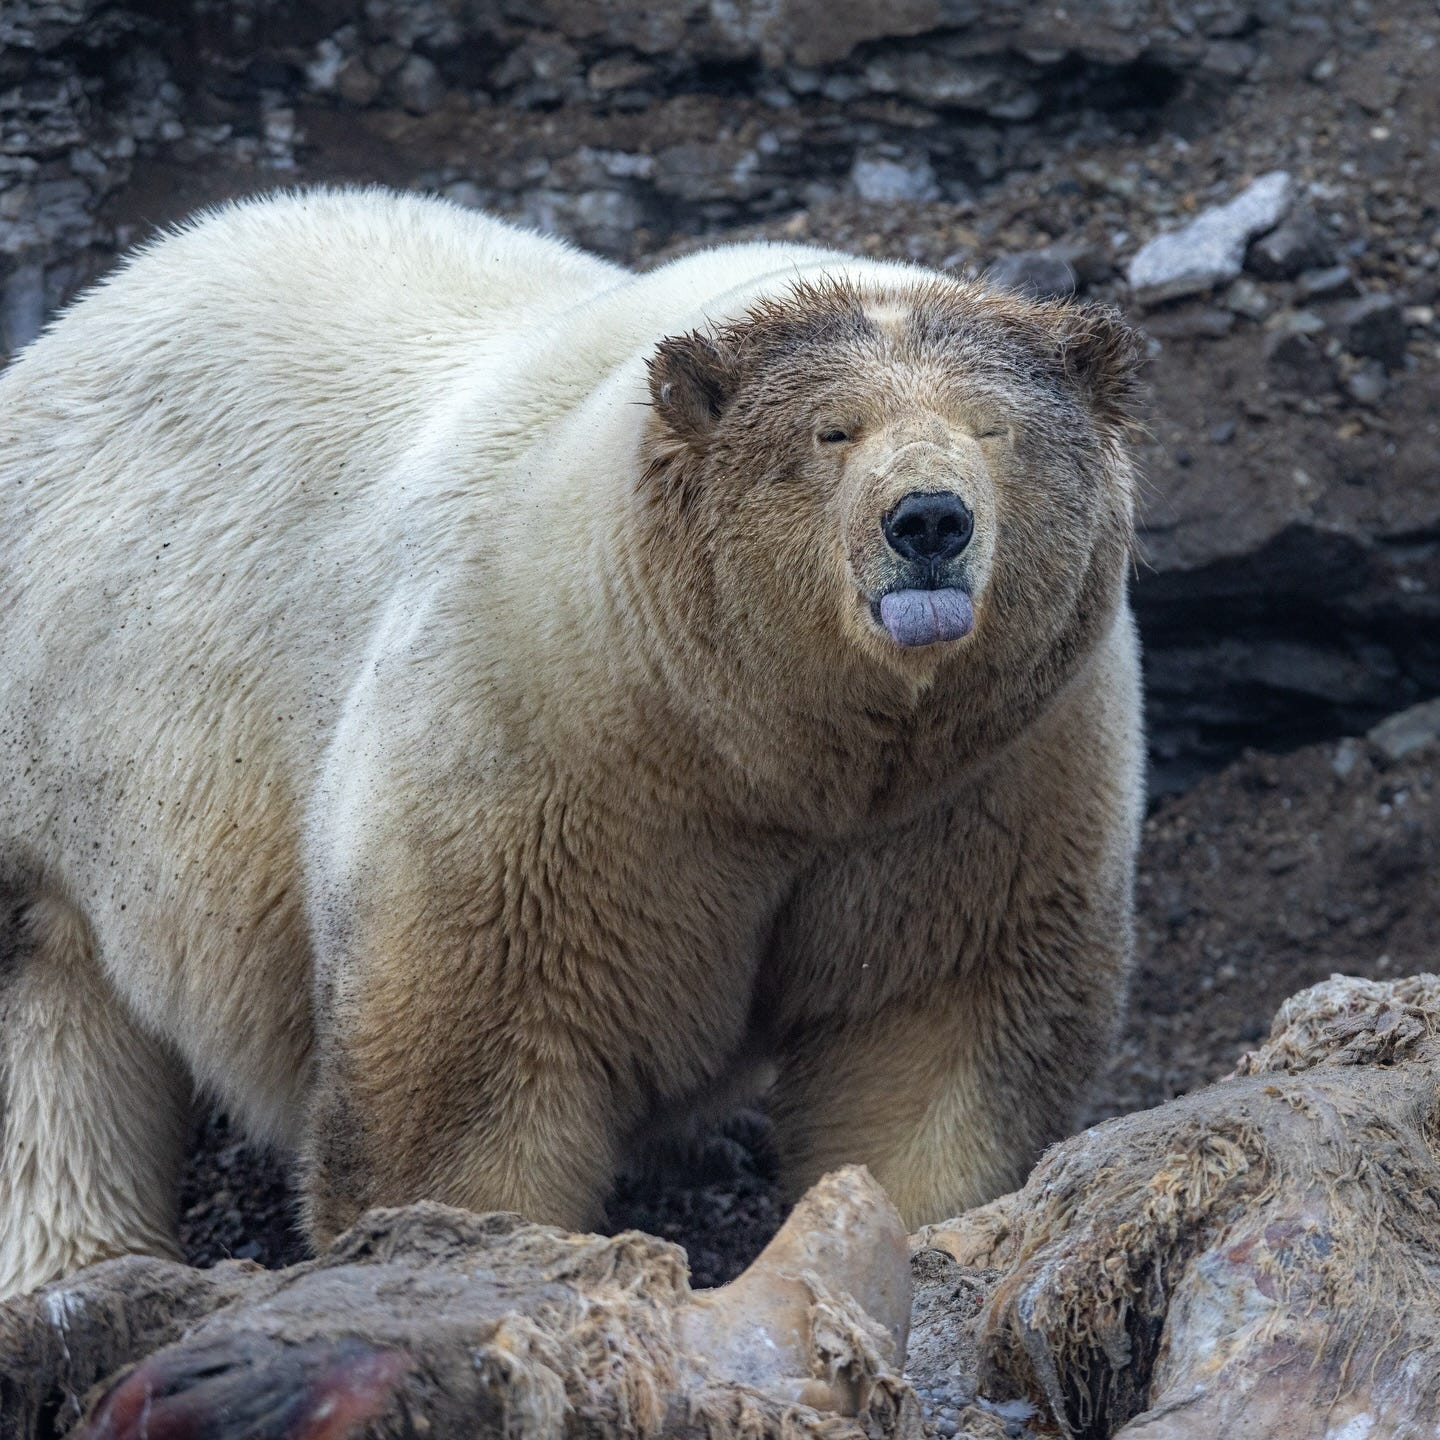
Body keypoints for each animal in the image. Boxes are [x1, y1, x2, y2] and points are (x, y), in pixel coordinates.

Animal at [0, 188, 1144, 1301]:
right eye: (833, 433)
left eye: (993, 429)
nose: (929, 522)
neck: (764, 751)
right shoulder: (535, 735)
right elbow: (475, 1063)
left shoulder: (989, 782)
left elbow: (939, 1025)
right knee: (45, 1021)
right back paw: (77, 1264)